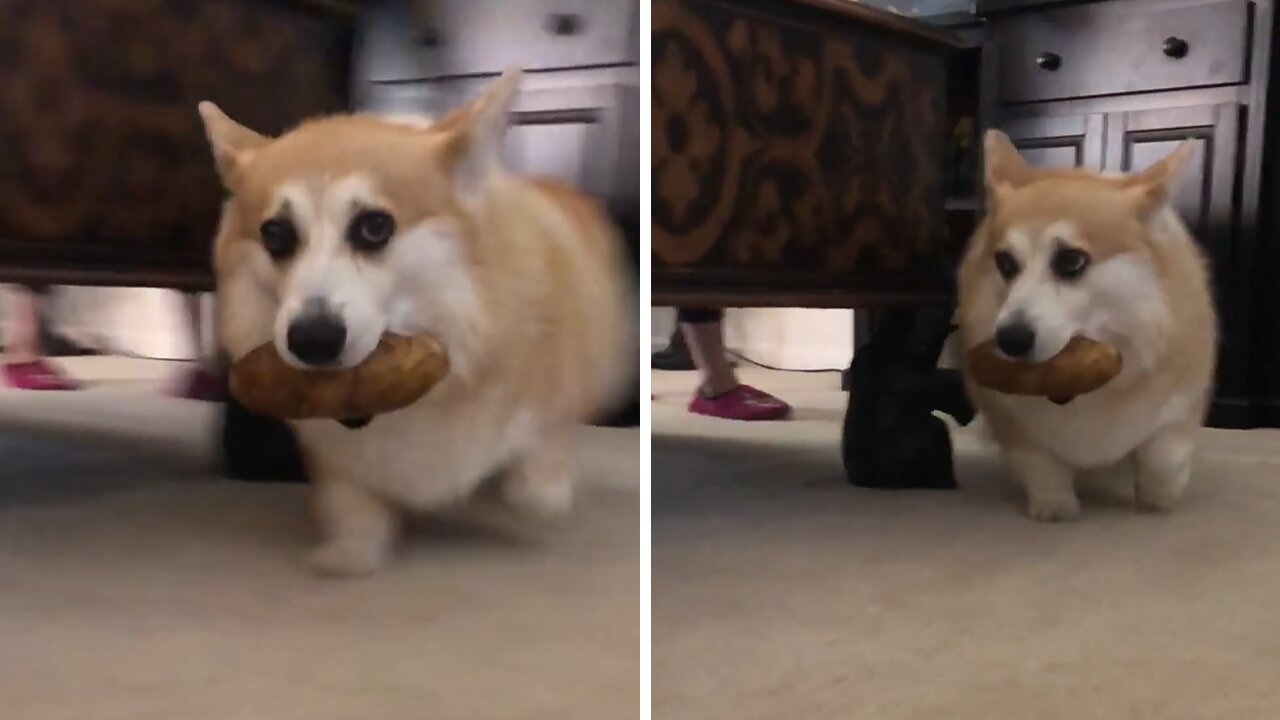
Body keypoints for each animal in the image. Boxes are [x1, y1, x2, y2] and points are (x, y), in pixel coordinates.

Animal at [199, 67, 634, 571]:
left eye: (374, 226)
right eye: (275, 234)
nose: (313, 340)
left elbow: (537, 472)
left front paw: (532, 490)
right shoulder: (339, 457)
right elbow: (352, 502)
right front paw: (351, 552)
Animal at [962, 130, 1218, 520]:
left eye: (1071, 260)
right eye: (1005, 263)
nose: (1010, 339)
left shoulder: (1181, 401)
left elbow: (1164, 454)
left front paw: (1160, 497)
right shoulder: (1010, 419)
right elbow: (1038, 461)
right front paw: (1054, 504)